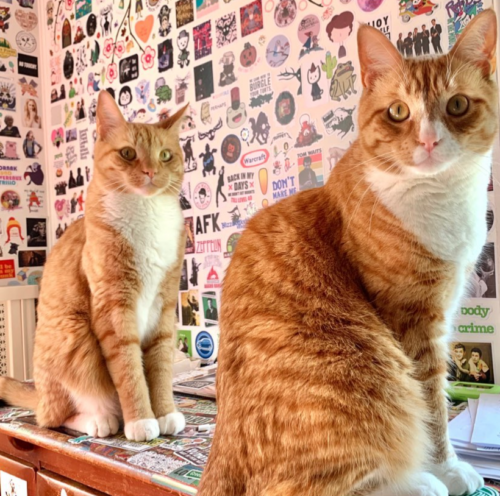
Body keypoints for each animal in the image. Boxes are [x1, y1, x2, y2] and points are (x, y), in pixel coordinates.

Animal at [0, 91, 188, 444]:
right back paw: (100, 420)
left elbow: (159, 368)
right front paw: (141, 420)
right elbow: (130, 372)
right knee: (52, 417)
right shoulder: (114, 310)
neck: (147, 214)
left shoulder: (165, 309)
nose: (150, 172)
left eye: (165, 155)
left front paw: (165, 411)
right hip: (74, 337)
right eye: (128, 154)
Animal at [198, 9, 496, 496]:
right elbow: (434, 408)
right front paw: (447, 470)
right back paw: (419, 483)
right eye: (398, 112)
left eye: (457, 105)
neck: (440, 196)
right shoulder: (413, 321)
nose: (429, 141)